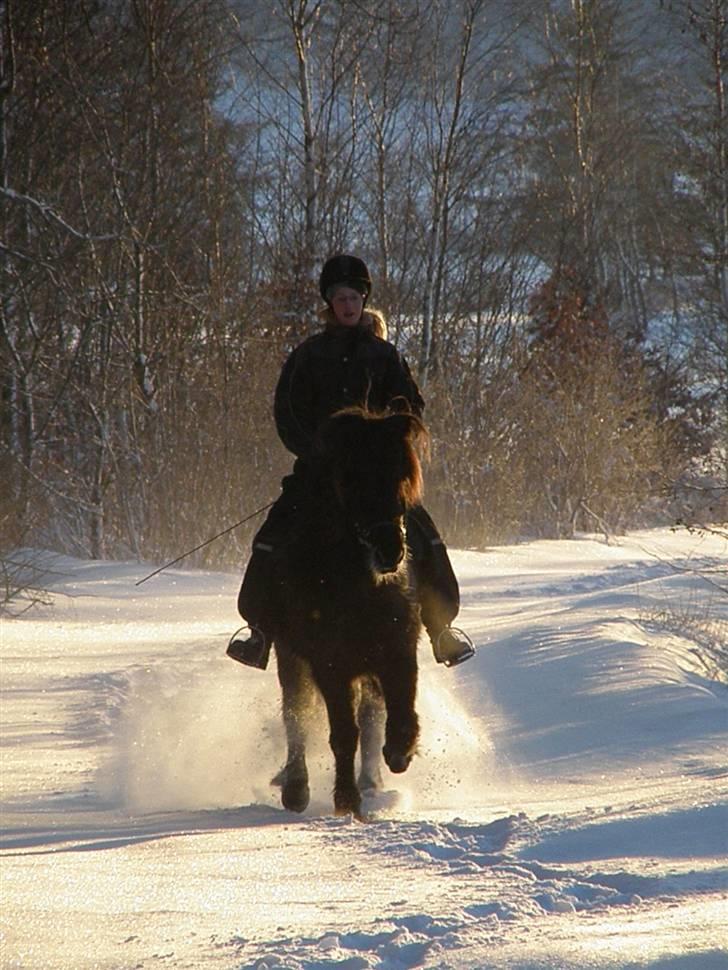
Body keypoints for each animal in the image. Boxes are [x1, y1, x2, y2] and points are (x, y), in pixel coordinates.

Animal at [268, 404, 426, 820]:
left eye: (402, 475)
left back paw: (371, 781)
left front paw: (399, 752)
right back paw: (296, 788)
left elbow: (397, 713)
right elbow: (342, 733)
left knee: (369, 718)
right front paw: (346, 800)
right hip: (291, 659)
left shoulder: (397, 651)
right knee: (296, 715)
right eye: (350, 479)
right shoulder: (331, 665)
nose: (390, 550)